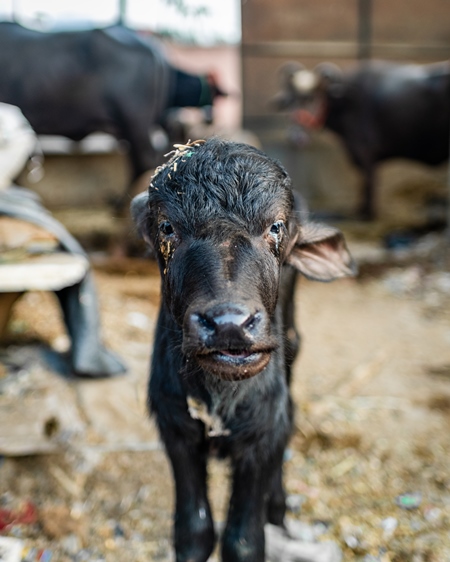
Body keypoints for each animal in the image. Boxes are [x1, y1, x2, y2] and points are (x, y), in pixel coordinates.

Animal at [130, 137, 356, 560]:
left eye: (276, 226)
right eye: (168, 227)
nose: (228, 324)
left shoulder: (261, 436)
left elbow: (244, 541)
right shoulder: (176, 429)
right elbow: (194, 531)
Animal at [272, 60, 450, 219]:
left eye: (313, 98)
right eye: (291, 100)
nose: (297, 135)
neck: (347, 104)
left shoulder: (365, 153)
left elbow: (367, 183)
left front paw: (367, 214)